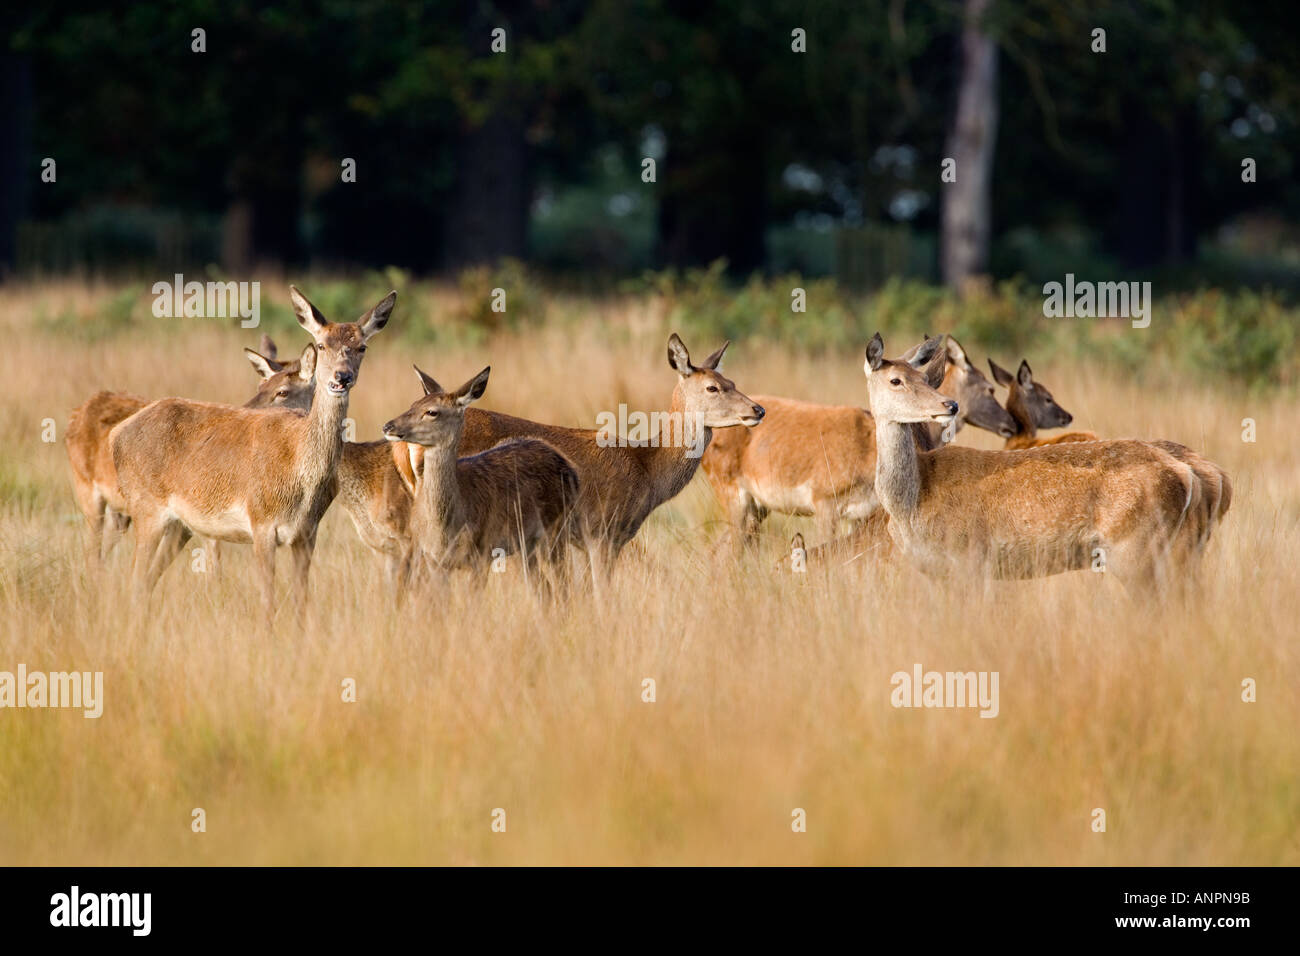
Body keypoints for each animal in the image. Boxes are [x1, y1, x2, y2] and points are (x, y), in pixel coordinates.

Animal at [67, 335, 314, 567]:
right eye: (261, 386)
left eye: (283, 391)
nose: (245, 410)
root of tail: (77, 413)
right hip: (87, 491)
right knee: (92, 552)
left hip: (119, 513)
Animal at [109, 287, 392, 624]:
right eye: (322, 345)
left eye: (362, 347)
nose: (342, 376)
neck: (300, 472)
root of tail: (116, 434)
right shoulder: (261, 522)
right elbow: (268, 603)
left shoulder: (307, 533)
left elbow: (301, 603)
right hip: (145, 506)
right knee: (135, 578)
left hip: (180, 525)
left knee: (147, 580)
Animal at [377, 366, 579, 590]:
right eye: (413, 404)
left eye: (432, 412)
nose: (388, 426)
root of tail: (568, 466)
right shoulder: (434, 559)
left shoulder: (482, 553)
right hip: (526, 544)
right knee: (543, 587)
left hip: (556, 530)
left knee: (563, 585)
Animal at [702, 335, 1003, 546]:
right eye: (895, 380)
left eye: (925, 378)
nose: (950, 405)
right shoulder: (823, 500)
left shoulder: (861, 515)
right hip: (729, 490)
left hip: (757, 506)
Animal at [857, 335, 1211, 590]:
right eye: (895, 380)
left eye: (925, 378)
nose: (950, 405)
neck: (910, 504)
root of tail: (1188, 475)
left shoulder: (971, 558)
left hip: (1137, 548)